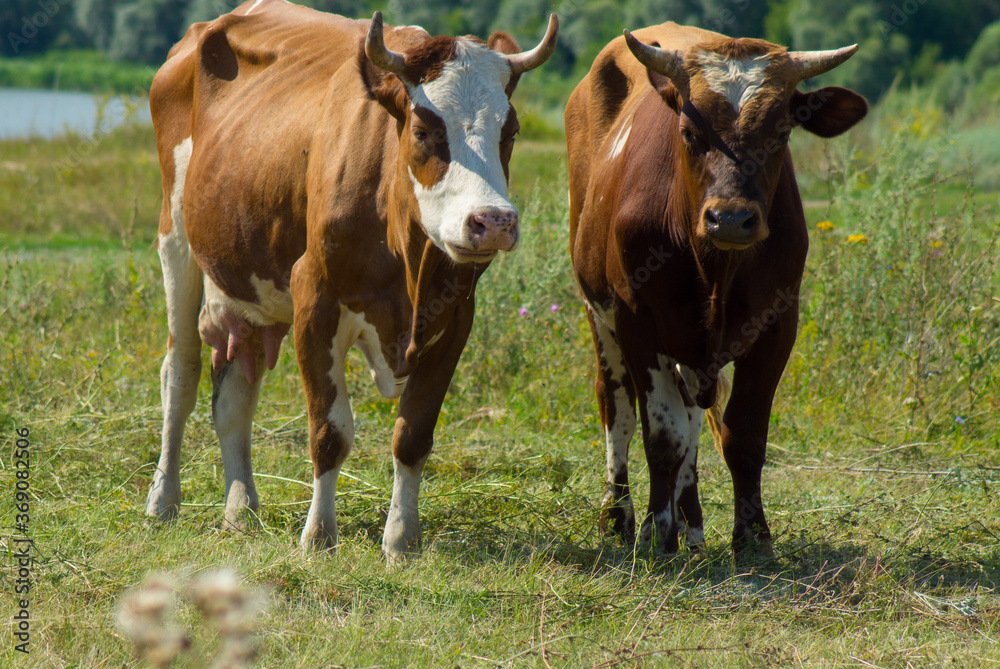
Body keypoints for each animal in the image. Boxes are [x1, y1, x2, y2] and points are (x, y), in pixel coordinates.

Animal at [146, 0, 560, 560]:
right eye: (425, 129)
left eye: (509, 131)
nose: (492, 221)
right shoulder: (314, 300)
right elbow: (330, 431)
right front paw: (319, 535)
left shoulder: (455, 321)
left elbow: (413, 435)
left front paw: (401, 540)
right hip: (177, 241)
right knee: (181, 376)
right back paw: (163, 500)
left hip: (248, 285)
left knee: (234, 397)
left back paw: (241, 510)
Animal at [564, 23, 868, 552]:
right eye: (689, 133)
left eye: (782, 134)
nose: (729, 218)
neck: (716, 269)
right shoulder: (636, 322)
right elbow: (662, 435)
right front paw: (654, 531)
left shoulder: (778, 324)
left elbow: (742, 436)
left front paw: (753, 534)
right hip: (598, 313)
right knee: (617, 408)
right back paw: (620, 516)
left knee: (691, 418)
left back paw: (692, 525)